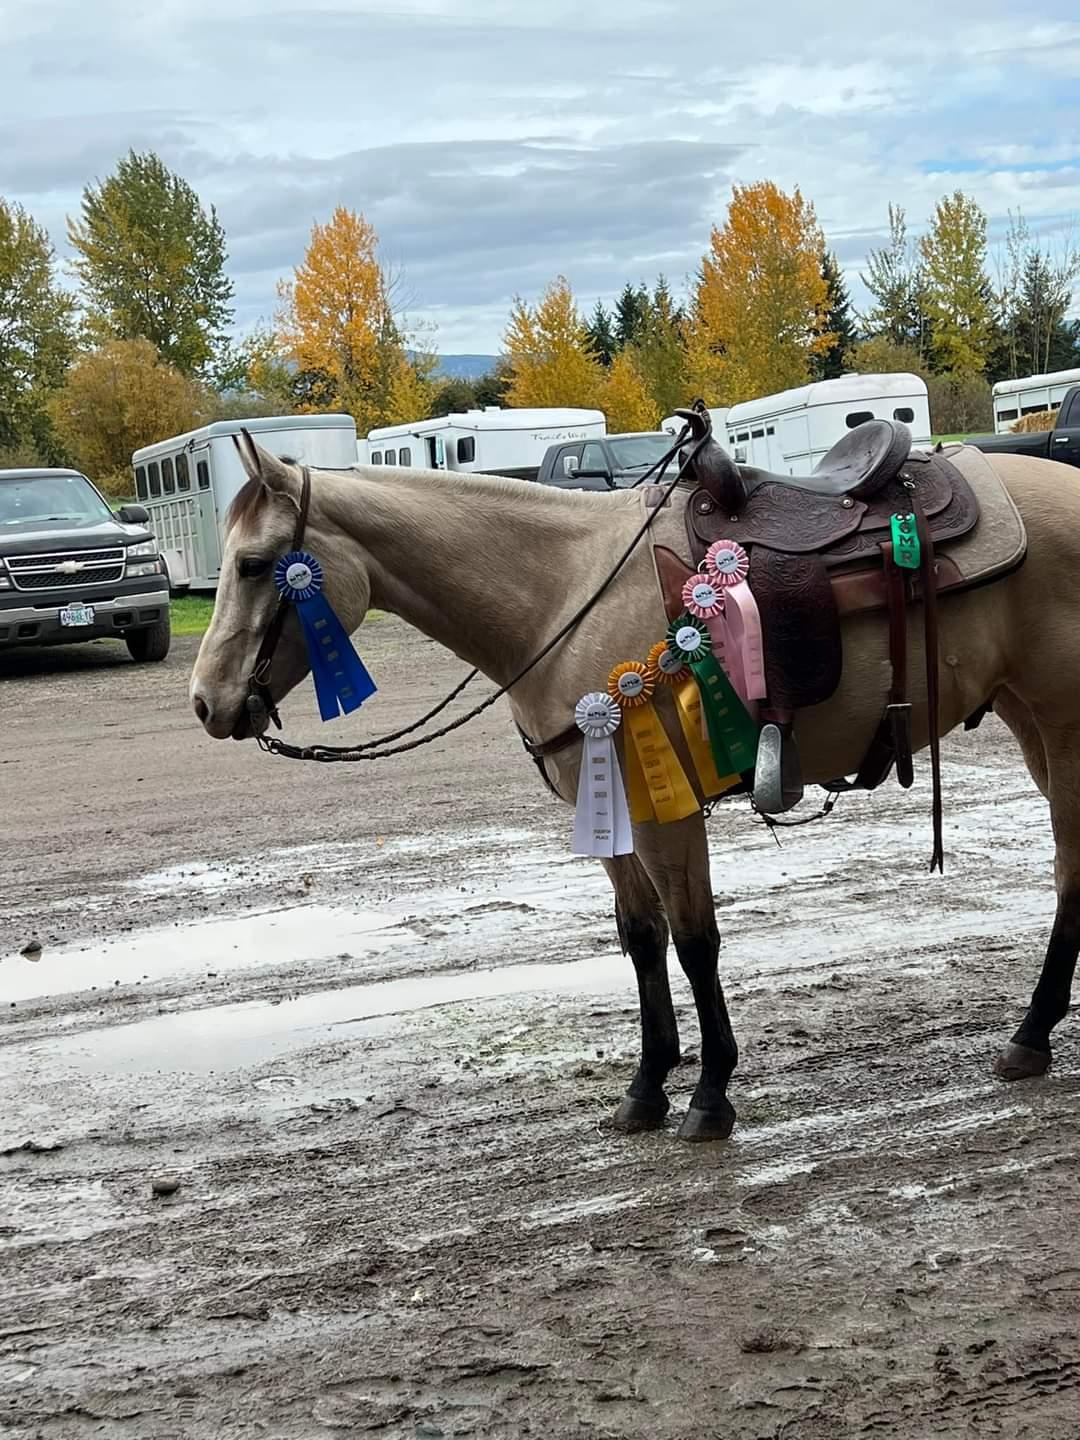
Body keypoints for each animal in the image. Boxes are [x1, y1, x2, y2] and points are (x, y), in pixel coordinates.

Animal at [190, 432, 1080, 1143]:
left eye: (255, 565)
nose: (206, 702)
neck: (561, 596)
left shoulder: (666, 813)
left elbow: (694, 942)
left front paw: (711, 1094)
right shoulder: (610, 817)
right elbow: (642, 939)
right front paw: (647, 1088)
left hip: (1061, 721)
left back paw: (1032, 1033)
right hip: (1029, 718)